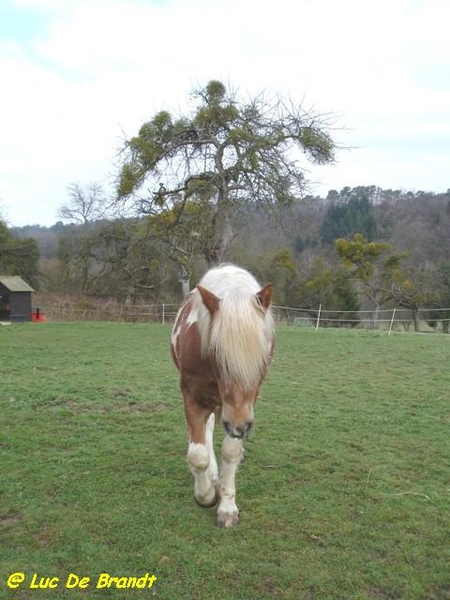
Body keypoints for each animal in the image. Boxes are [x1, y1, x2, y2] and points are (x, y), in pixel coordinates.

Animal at [169, 264, 274, 528]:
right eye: (215, 350)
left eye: (263, 354)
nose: (239, 426)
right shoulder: (193, 398)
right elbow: (198, 454)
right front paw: (206, 495)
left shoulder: (243, 408)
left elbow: (231, 451)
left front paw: (227, 507)